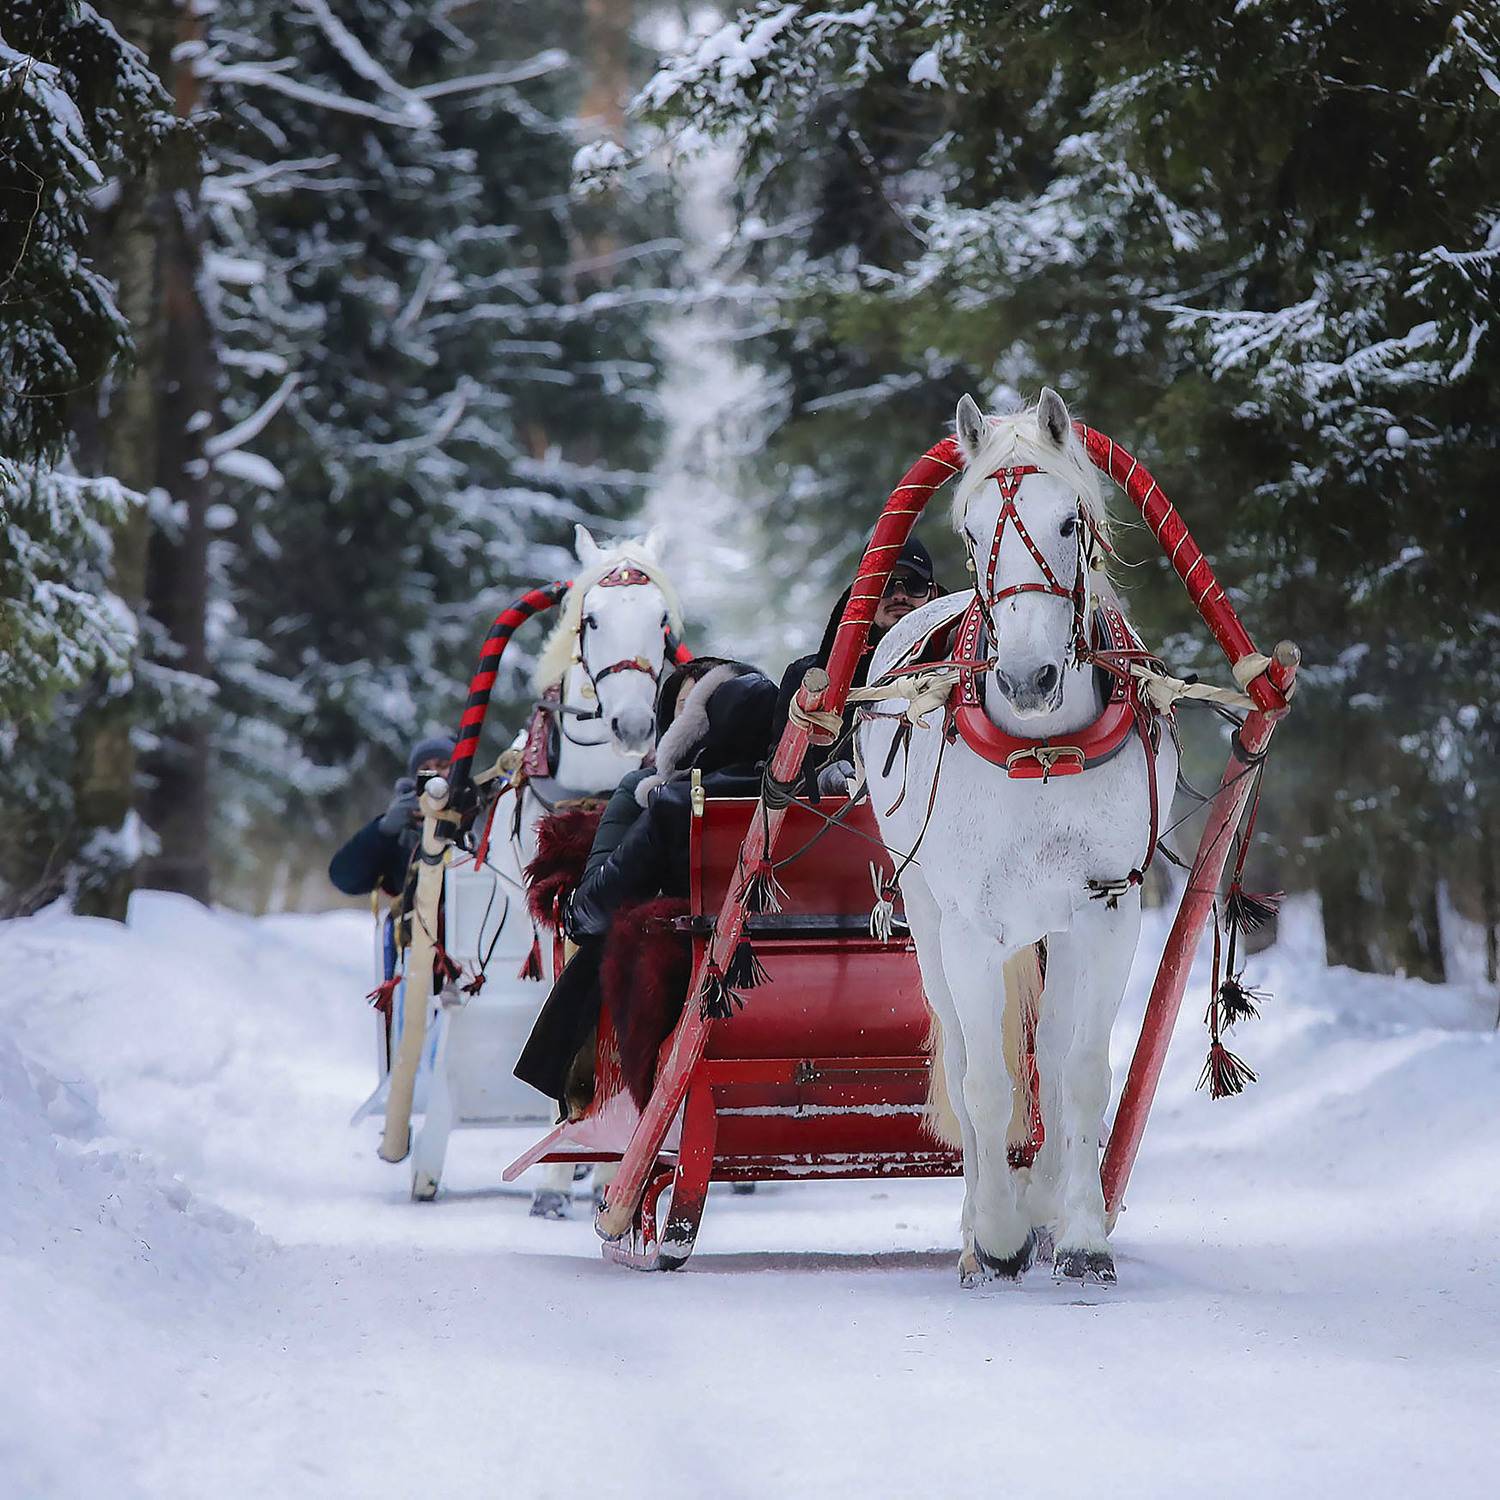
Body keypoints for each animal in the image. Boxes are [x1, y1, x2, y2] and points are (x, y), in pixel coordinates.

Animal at [856, 388, 1178, 1286]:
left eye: (1070, 521)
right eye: (971, 534)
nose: (1028, 679)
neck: (1041, 751)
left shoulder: (1107, 911)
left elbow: (1079, 1074)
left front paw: (1081, 1234)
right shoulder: (970, 924)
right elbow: (986, 1085)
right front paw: (998, 1239)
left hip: (1054, 931)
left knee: (1053, 1057)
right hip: (929, 918)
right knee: (970, 1065)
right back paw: (981, 1229)